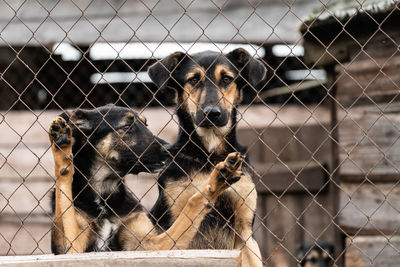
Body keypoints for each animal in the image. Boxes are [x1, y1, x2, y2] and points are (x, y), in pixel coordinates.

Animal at [49, 104, 244, 255]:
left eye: (145, 124)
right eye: (127, 125)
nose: (170, 149)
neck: (104, 194)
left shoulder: (149, 244)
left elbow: (192, 205)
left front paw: (218, 179)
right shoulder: (71, 247)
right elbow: (64, 186)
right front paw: (62, 151)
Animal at [148, 48, 268, 267]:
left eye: (227, 79)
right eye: (194, 80)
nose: (212, 113)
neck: (209, 156)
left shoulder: (245, 231)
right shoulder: (174, 223)